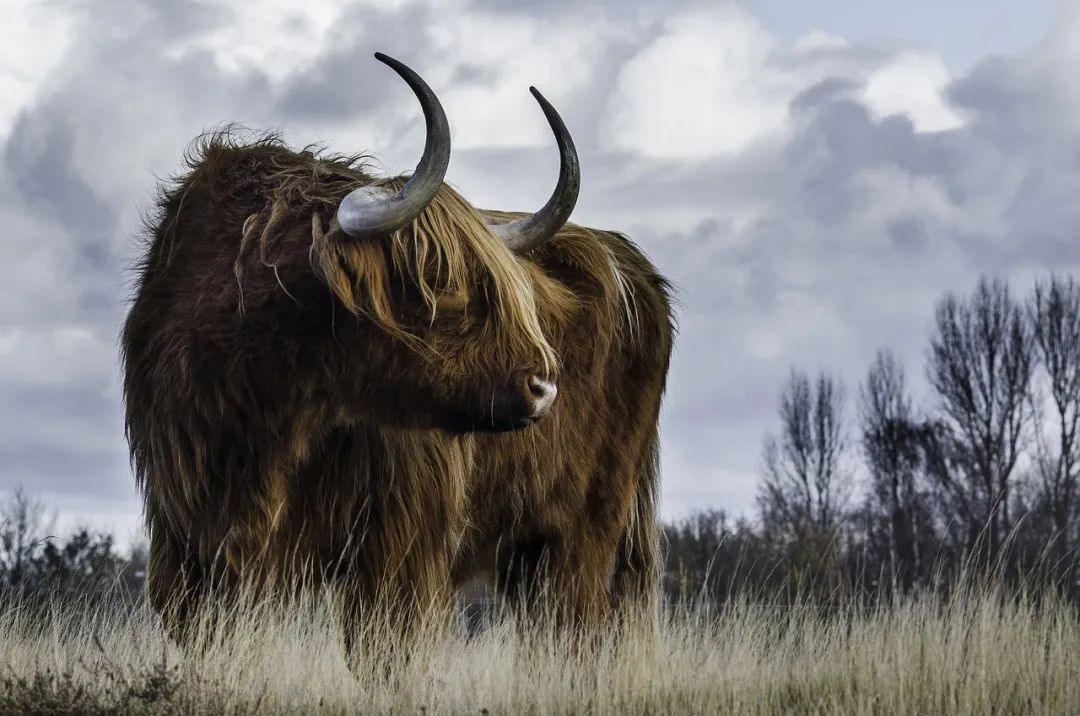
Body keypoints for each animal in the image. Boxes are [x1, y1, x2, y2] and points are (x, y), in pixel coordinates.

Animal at [120, 53, 673, 639]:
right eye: (440, 279)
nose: (543, 387)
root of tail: (631, 262)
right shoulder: (185, 539)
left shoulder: (399, 546)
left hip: (583, 531)